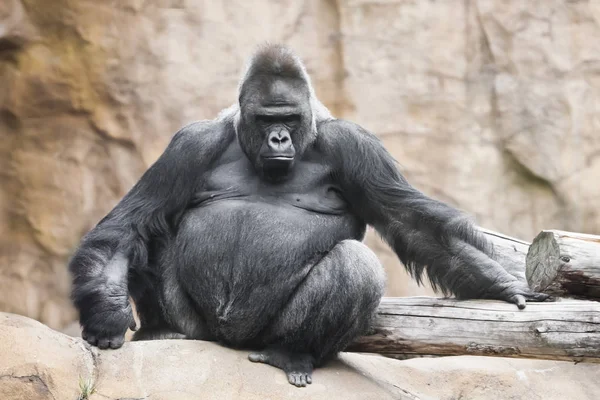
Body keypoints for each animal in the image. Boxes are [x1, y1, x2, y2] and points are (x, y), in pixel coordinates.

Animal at [69, 43, 548, 388]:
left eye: (289, 117)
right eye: (266, 120)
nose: (279, 138)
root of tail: (230, 341)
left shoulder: (356, 146)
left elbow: (415, 225)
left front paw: (501, 285)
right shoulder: (189, 144)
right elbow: (126, 228)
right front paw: (107, 315)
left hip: (263, 334)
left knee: (354, 266)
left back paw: (292, 352)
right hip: (203, 329)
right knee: (152, 233)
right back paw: (166, 331)